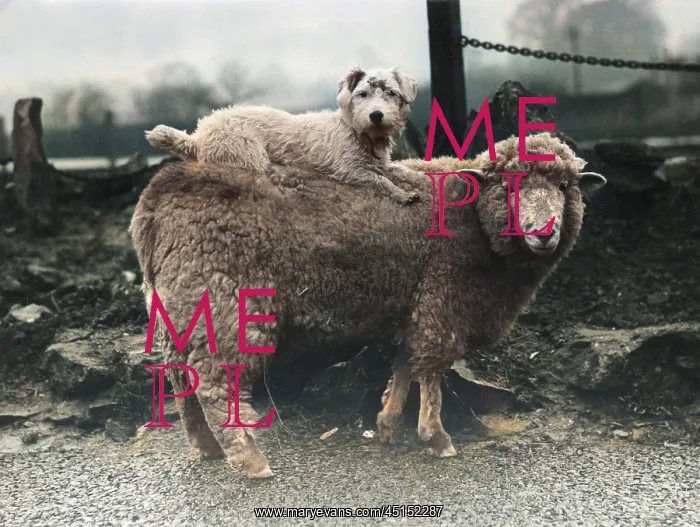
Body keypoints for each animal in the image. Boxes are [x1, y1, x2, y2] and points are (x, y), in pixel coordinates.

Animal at [128, 132, 606, 479]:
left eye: (565, 187)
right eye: (508, 186)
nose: (544, 231)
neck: (477, 225)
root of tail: (157, 199)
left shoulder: (415, 304)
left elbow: (404, 364)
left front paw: (388, 425)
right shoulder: (442, 300)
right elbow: (431, 369)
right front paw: (435, 436)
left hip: (180, 303)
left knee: (180, 374)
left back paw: (207, 447)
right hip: (224, 300)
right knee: (212, 383)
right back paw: (250, 460)